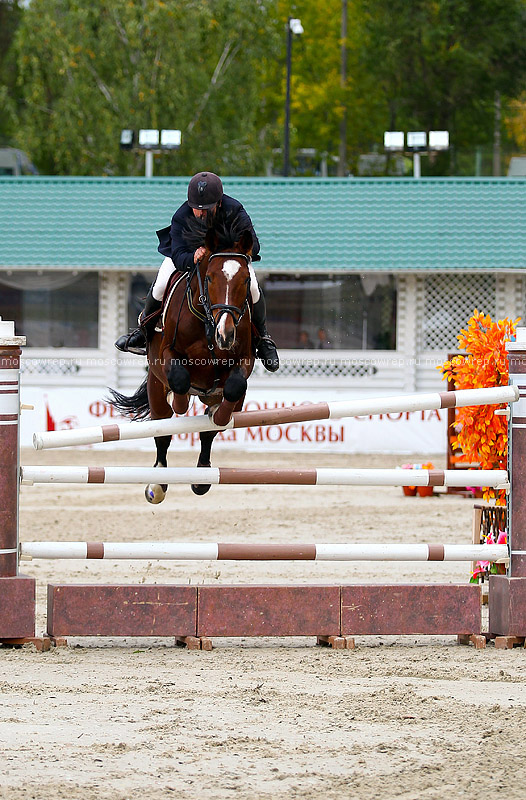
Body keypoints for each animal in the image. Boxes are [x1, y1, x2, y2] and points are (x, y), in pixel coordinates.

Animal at [112, 212, 258, 500]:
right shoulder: (167, 355)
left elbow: (234, 387)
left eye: (246, 281)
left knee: (208, 432)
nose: (225, 335)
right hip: (156, 387)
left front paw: (220, 415)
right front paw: (178, 400)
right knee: (162, 430)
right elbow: (179, 379)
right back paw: (157, 483)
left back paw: (202, 476)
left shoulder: (244, 360)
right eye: (210, 278)